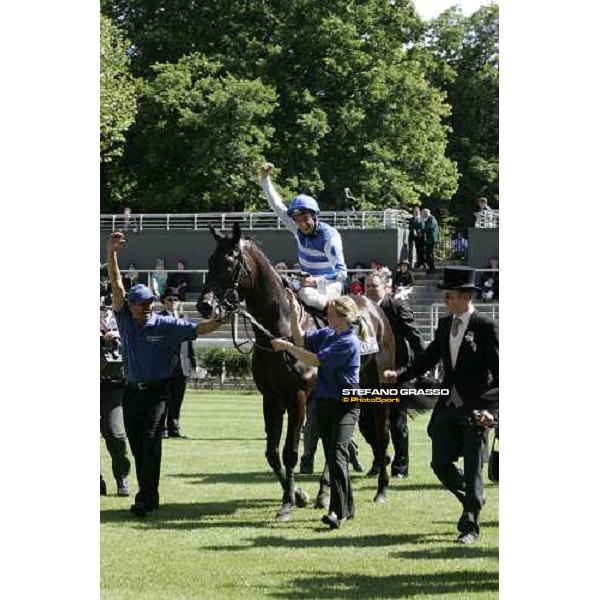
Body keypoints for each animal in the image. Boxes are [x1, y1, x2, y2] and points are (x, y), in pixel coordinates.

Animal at [199, 223, 400, 516]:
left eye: (229, 262)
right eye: (210, 260)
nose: (204, 305)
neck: (279, 329)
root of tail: (376, 309)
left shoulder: (298, 397)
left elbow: (290, 452)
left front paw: (287, 505)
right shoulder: (271, 398)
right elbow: (272, 453)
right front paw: (297, 494)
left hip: (380, 387)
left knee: (382, 434)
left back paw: (381, 490)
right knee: (334, 443)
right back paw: (324, 494)